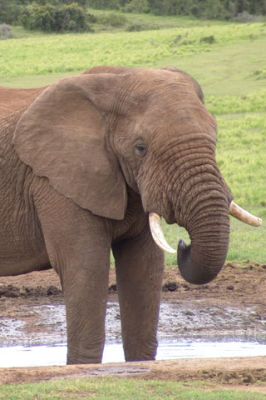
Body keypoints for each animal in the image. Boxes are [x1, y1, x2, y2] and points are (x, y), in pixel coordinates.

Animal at [0, 66, 262, 366]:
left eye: (215, 138)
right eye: (140, 148)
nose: (183, 244)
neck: (113, 83)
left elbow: (144, 266)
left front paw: (141, 365)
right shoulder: (55, 182)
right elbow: (85, 266)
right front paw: (85, 367)